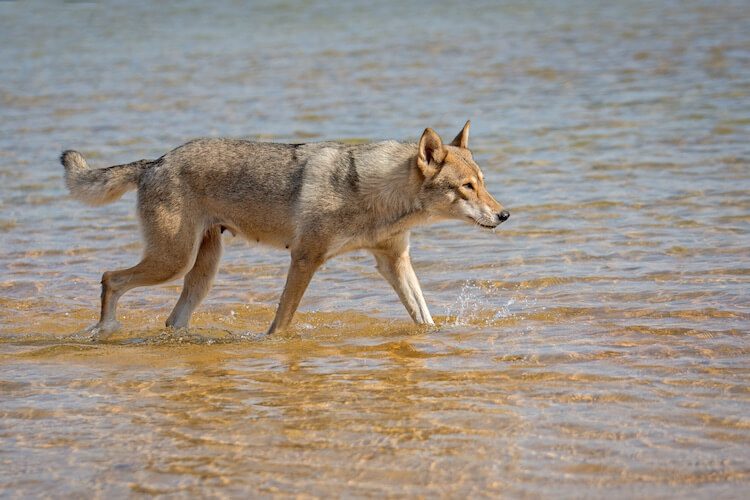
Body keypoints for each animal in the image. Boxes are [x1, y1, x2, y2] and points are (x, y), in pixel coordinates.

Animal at [61, 122, 512, 340]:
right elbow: (281, 322)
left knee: (172, 320)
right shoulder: (304, 259)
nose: (504, 214)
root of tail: (154, 162)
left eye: (483, 182)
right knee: (110, 278)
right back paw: (104, 331)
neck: (375, 192)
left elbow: (424, 316)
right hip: (172, 263)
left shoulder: (394, 261)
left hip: (200, 271)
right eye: (466, 187)